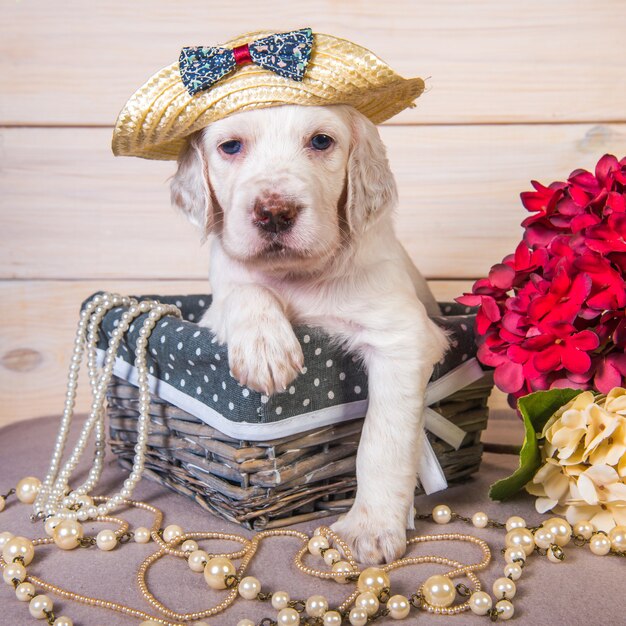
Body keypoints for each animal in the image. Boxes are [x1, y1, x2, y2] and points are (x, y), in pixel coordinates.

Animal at [168, 105, 446, 564]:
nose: (274, 212)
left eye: (320, 141)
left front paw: (371, 528)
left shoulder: (403, 336)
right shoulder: (217, 301)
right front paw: (266, 349)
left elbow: (382, 439)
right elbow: (246, 289)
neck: (298, 276)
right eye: (231, 146)